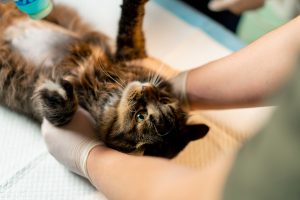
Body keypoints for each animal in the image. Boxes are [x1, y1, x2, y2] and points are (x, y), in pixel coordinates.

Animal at [0, 0, 209, 159]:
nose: (146, 89)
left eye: (140, 116)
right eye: (163, 100)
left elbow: (61, 114)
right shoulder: (130, 54)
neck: (107, 86)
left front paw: (59, 93)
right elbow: (132, 20)